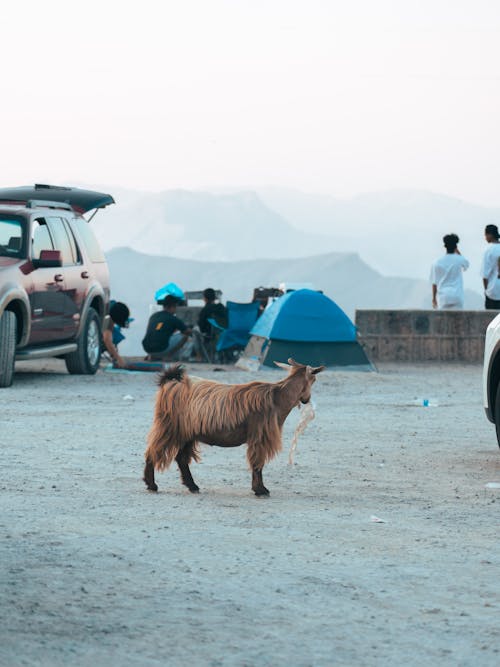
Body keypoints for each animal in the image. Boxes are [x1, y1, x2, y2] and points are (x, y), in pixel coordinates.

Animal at [145, 360, 324, 496]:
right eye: (313, 380)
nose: (307, 399)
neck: (277, 397)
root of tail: (171, 383)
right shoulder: (260, 436)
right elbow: (257, 463)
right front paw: (260, 490)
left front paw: (258, 488)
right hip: (168, 426)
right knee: (152, 451)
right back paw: (151, 484)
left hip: (187, 433)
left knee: (181, 459)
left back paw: (192, 486)